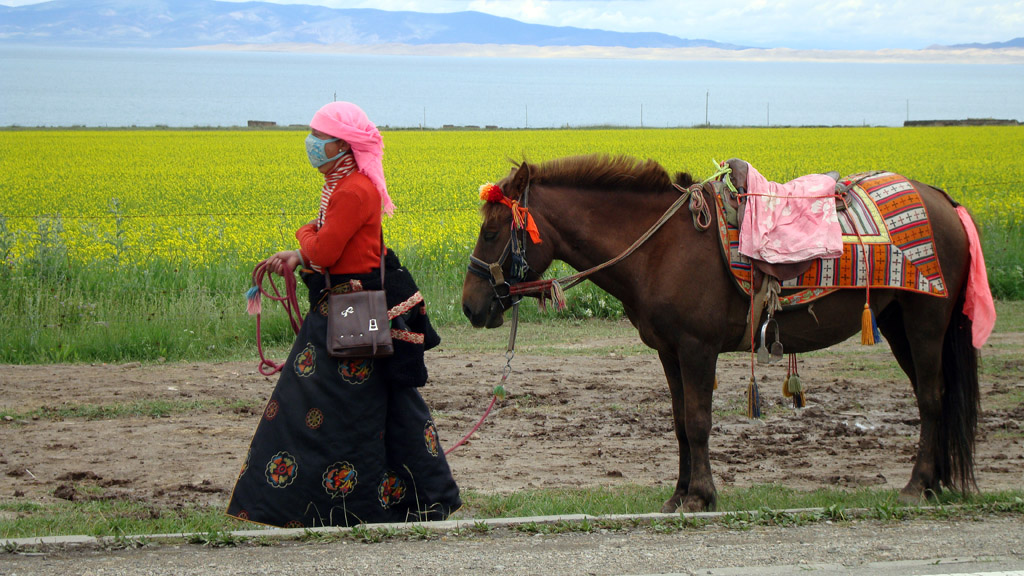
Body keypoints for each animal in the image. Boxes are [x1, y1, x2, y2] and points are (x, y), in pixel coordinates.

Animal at [460, 153, 978, 510]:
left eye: (492, 231)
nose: (470, 306)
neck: (661, 247)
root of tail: (942, 199)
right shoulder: (669, 351)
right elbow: (679, 423)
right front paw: (678, 495)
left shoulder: (696, 348)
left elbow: (698, 421)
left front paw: (700, 496)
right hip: (896, 323)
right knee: (933, 395)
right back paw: (934, 483)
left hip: (925, 322)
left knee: (931, 398)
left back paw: (917, 486)